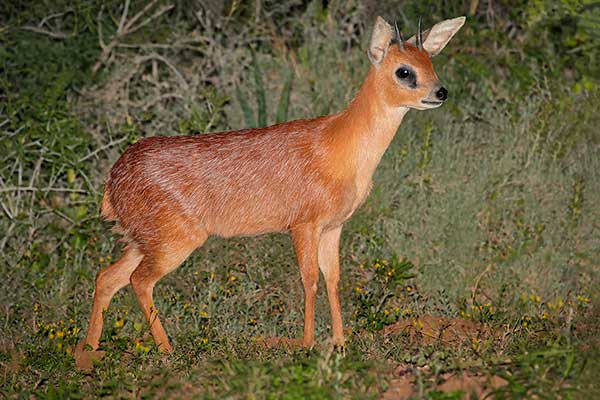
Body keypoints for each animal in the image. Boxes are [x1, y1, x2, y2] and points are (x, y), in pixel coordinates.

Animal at [75, 14, 466, 368]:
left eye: (430, 62)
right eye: (404, 71)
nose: (441, 92)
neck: (342, 148)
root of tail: (113, 181)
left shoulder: (334, 227)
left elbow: (333, 279)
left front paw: (341, 343)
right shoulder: (303, 224)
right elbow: (309, 279)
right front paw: (307, 344)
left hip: (144, 239)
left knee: (108, 277)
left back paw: (89, 352)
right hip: (174, 239)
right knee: (139, 281)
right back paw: (166, 351)